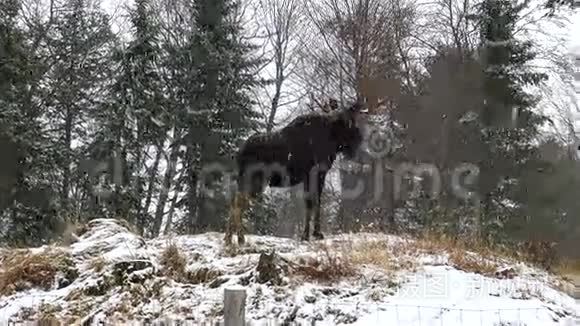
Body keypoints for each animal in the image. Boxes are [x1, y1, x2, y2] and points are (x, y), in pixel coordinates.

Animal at [223, 98, 368, 244]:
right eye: (350, 122)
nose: (360, 138)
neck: (333, 140)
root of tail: (238, 154)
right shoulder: (316, 173)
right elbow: (313, 202)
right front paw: (311, 234)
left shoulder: (311, 177)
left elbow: (312, 202)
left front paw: (311, 234)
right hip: (255, 180)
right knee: (238, 204)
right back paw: (240, 238)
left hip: (244, 180)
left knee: (234, 201)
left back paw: (229, 239)